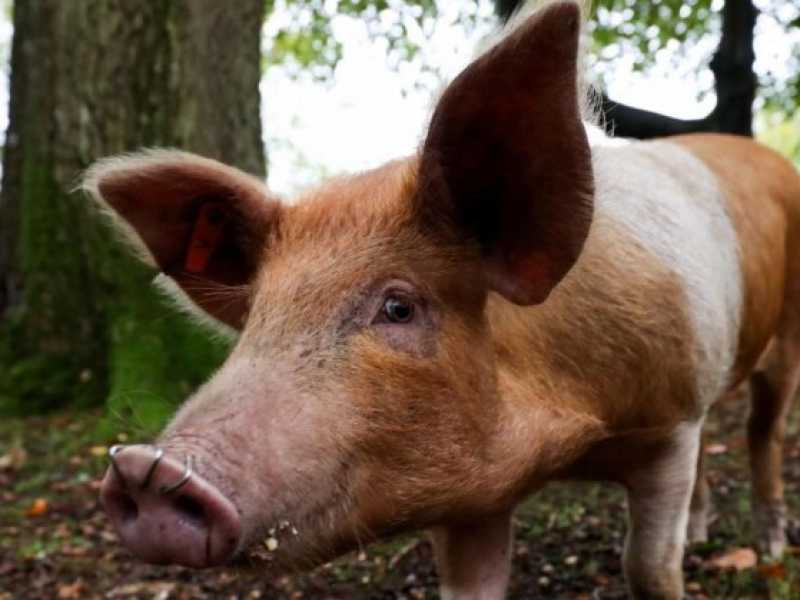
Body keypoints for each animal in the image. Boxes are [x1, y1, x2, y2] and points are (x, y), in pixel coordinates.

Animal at [88, 2, 800, 598]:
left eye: (398, 307)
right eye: (260, 315)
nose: (145, 468)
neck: (568, 439)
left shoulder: (669, 422)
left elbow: (649, 568)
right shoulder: (468, 496)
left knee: (762, 435)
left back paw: (768, 550)